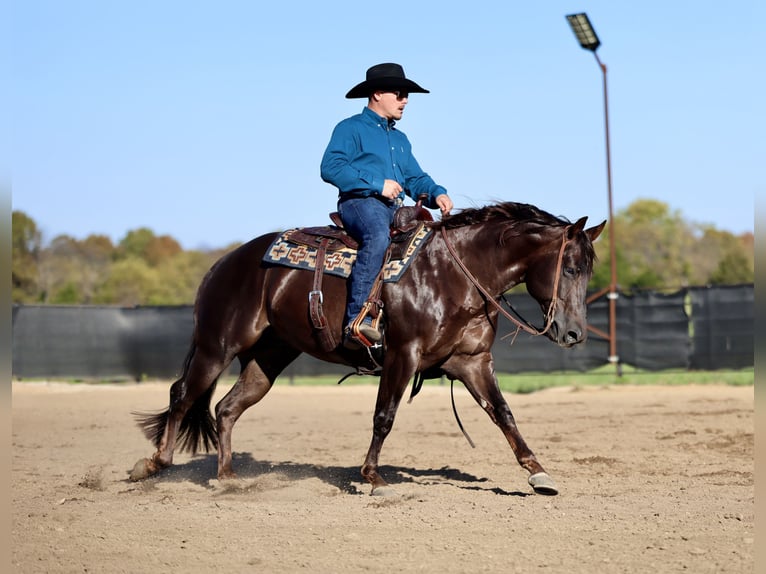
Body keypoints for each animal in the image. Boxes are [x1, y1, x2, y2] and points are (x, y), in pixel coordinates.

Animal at [129, 201, 605, 496]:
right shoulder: (402, 355)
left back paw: (227, 477)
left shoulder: (472, 363)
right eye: (570, 268)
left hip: (268, 357)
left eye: (587, 270)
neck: (454, 275)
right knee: (182, 396)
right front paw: (373, 477)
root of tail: (224, 263)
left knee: (226, 408)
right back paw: (152, 465)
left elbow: (504, 414)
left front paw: (539, 473)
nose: (574, 333)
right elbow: (384, 416)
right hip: (218, 345)